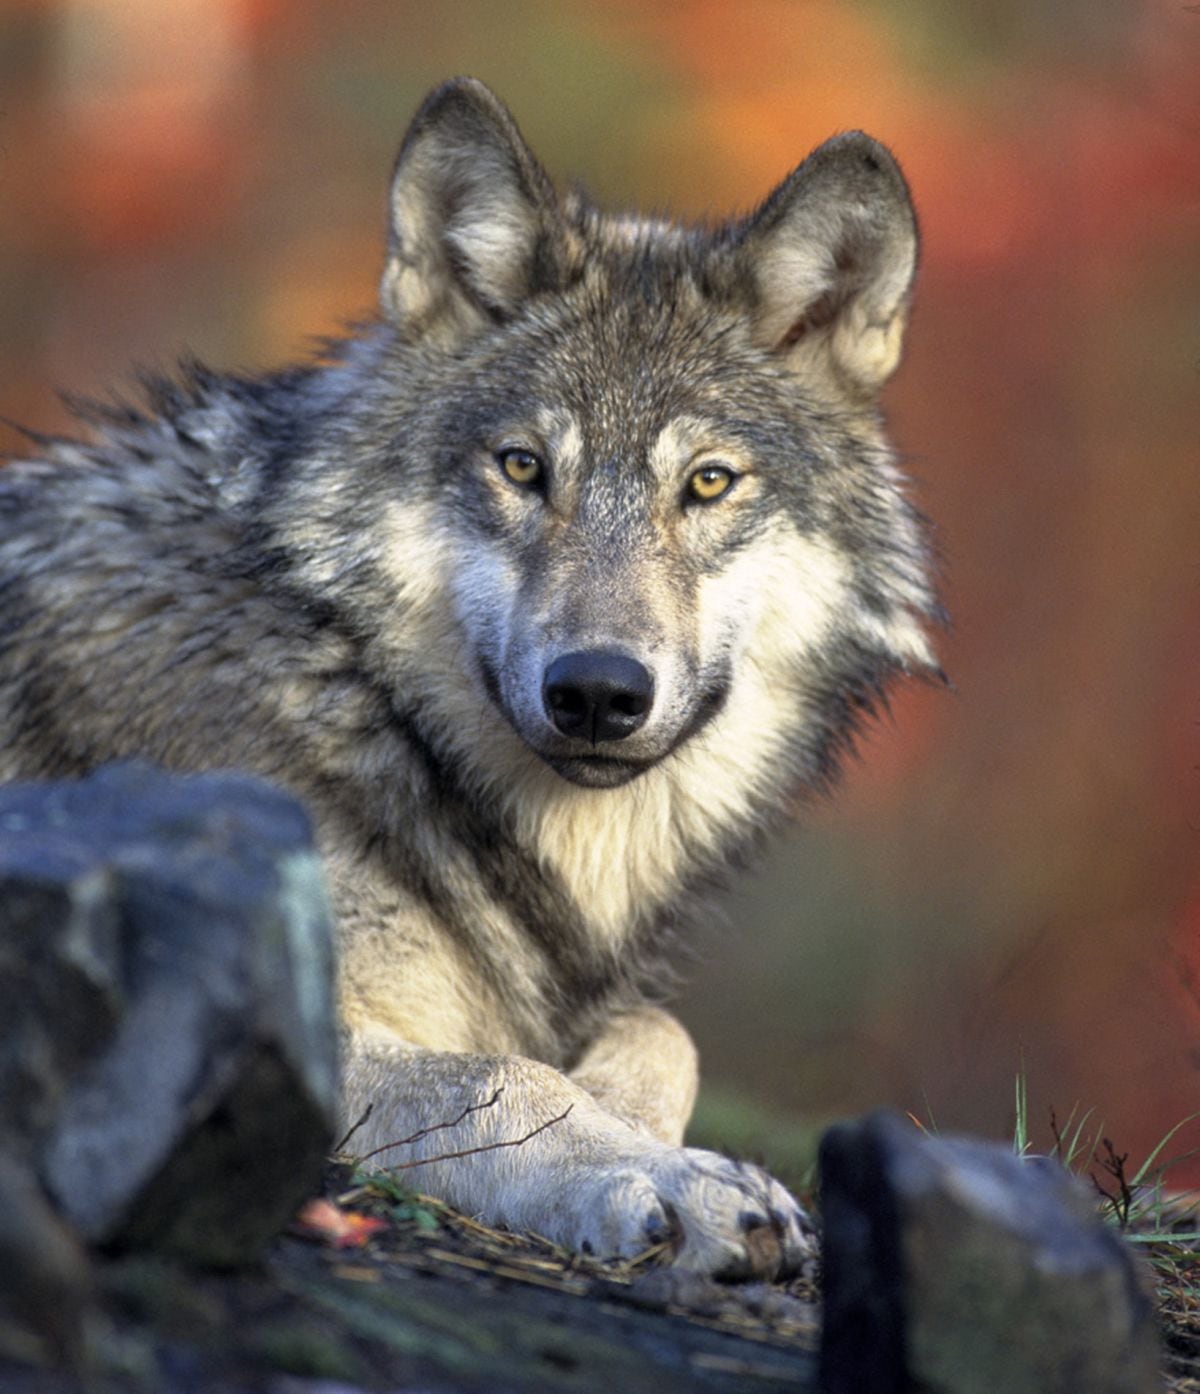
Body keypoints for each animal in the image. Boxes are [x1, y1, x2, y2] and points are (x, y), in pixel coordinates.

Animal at [0, 78, 938, 1278]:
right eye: (524, 467)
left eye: (708, 483)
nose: (598, 691)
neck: (356, 693)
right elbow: (503, 1074)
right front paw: (670, 1176)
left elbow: (661, 1030)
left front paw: (642, 1127)